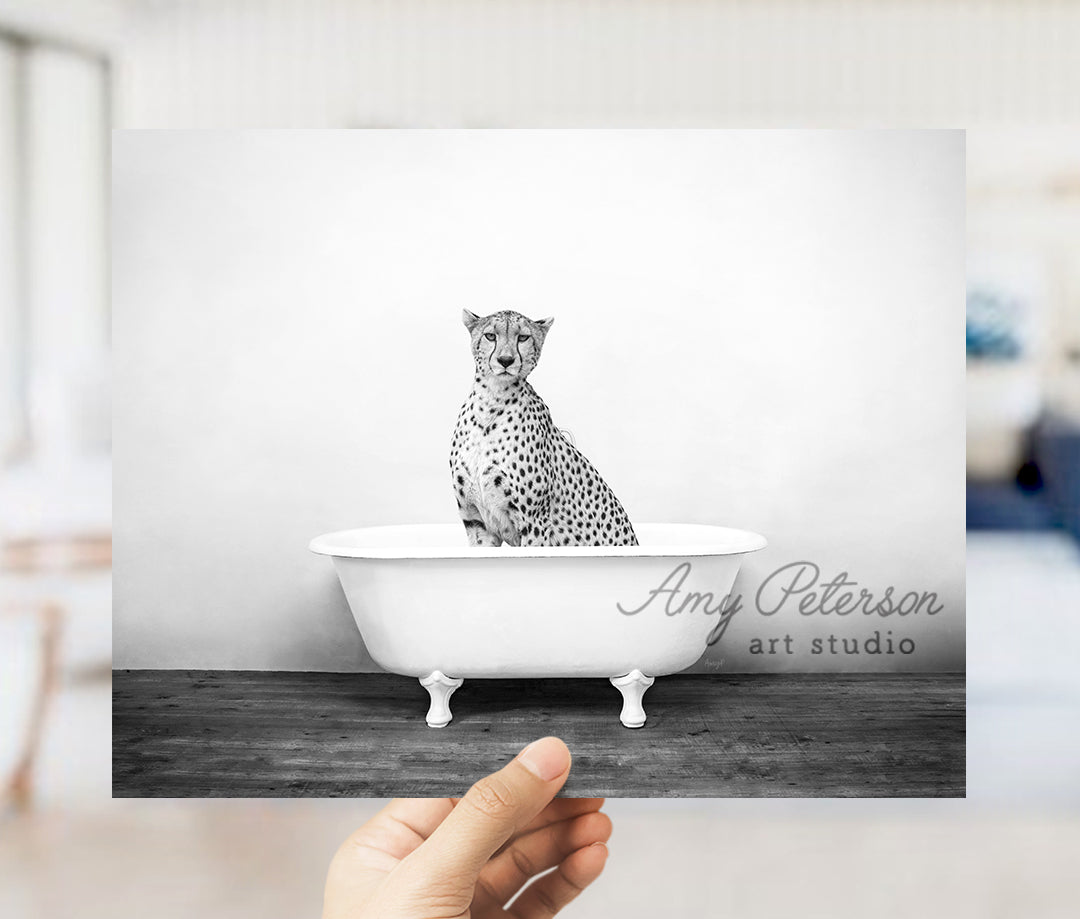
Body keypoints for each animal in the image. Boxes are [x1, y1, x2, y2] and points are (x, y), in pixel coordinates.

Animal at [449, 311, 639, 546]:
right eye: (490, 336)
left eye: (523, 338)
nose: (506, 360)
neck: (492, 400)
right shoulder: (477, 521)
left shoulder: (534, 522)